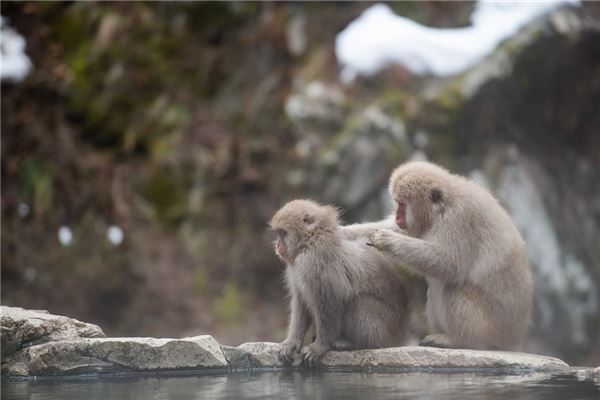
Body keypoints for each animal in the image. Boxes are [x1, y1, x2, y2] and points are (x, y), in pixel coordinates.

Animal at [270, 200, 408, 366]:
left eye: (282, 233)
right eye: (278, 233)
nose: (277, 245)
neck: (310, 241)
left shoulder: (314, 262)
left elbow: (329, 300)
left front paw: (320, 346)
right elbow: (301, 301)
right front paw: (292, 342)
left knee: (359, 300)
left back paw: (357, 343)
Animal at [364, 162, 532, 350]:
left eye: (402, 204)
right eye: (397, 203)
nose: (397, 216)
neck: (442, 208)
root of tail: (513, 338)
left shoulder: (458, 219)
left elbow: (449, 262)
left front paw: (388, 240)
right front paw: (348, 232)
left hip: (491, 330)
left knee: (455, 286)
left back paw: (460, 341)